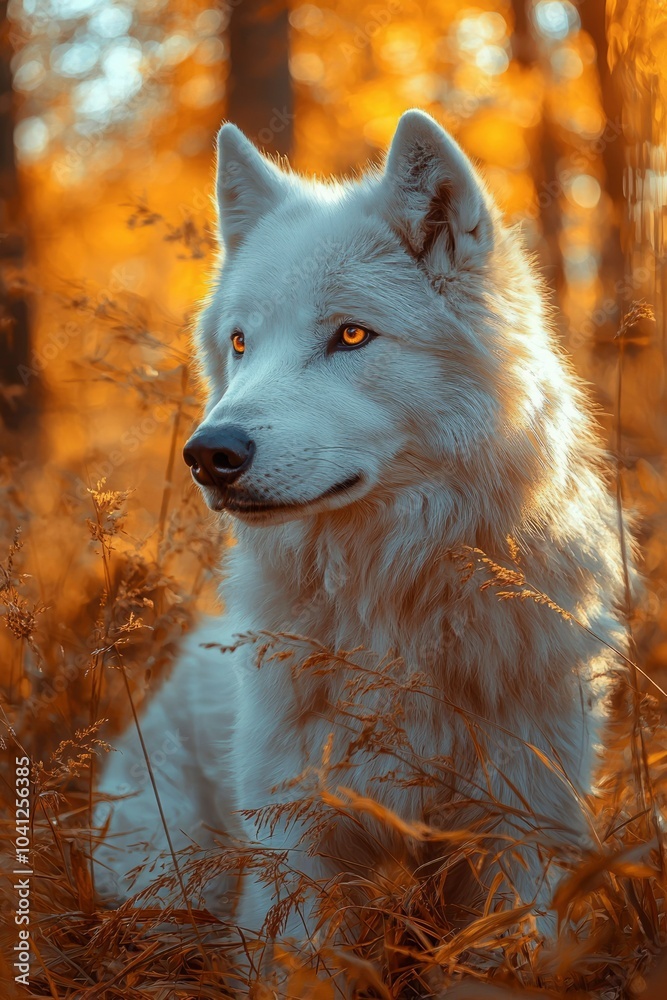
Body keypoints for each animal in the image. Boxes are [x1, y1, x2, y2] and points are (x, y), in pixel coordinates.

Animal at [96, 109, 627, 978]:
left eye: (350, 335)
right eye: (239, 344)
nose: (208, 454)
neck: (393, 608)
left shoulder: (521, 832)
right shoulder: (294, 846)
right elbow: (297, 965)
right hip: (170, 880)